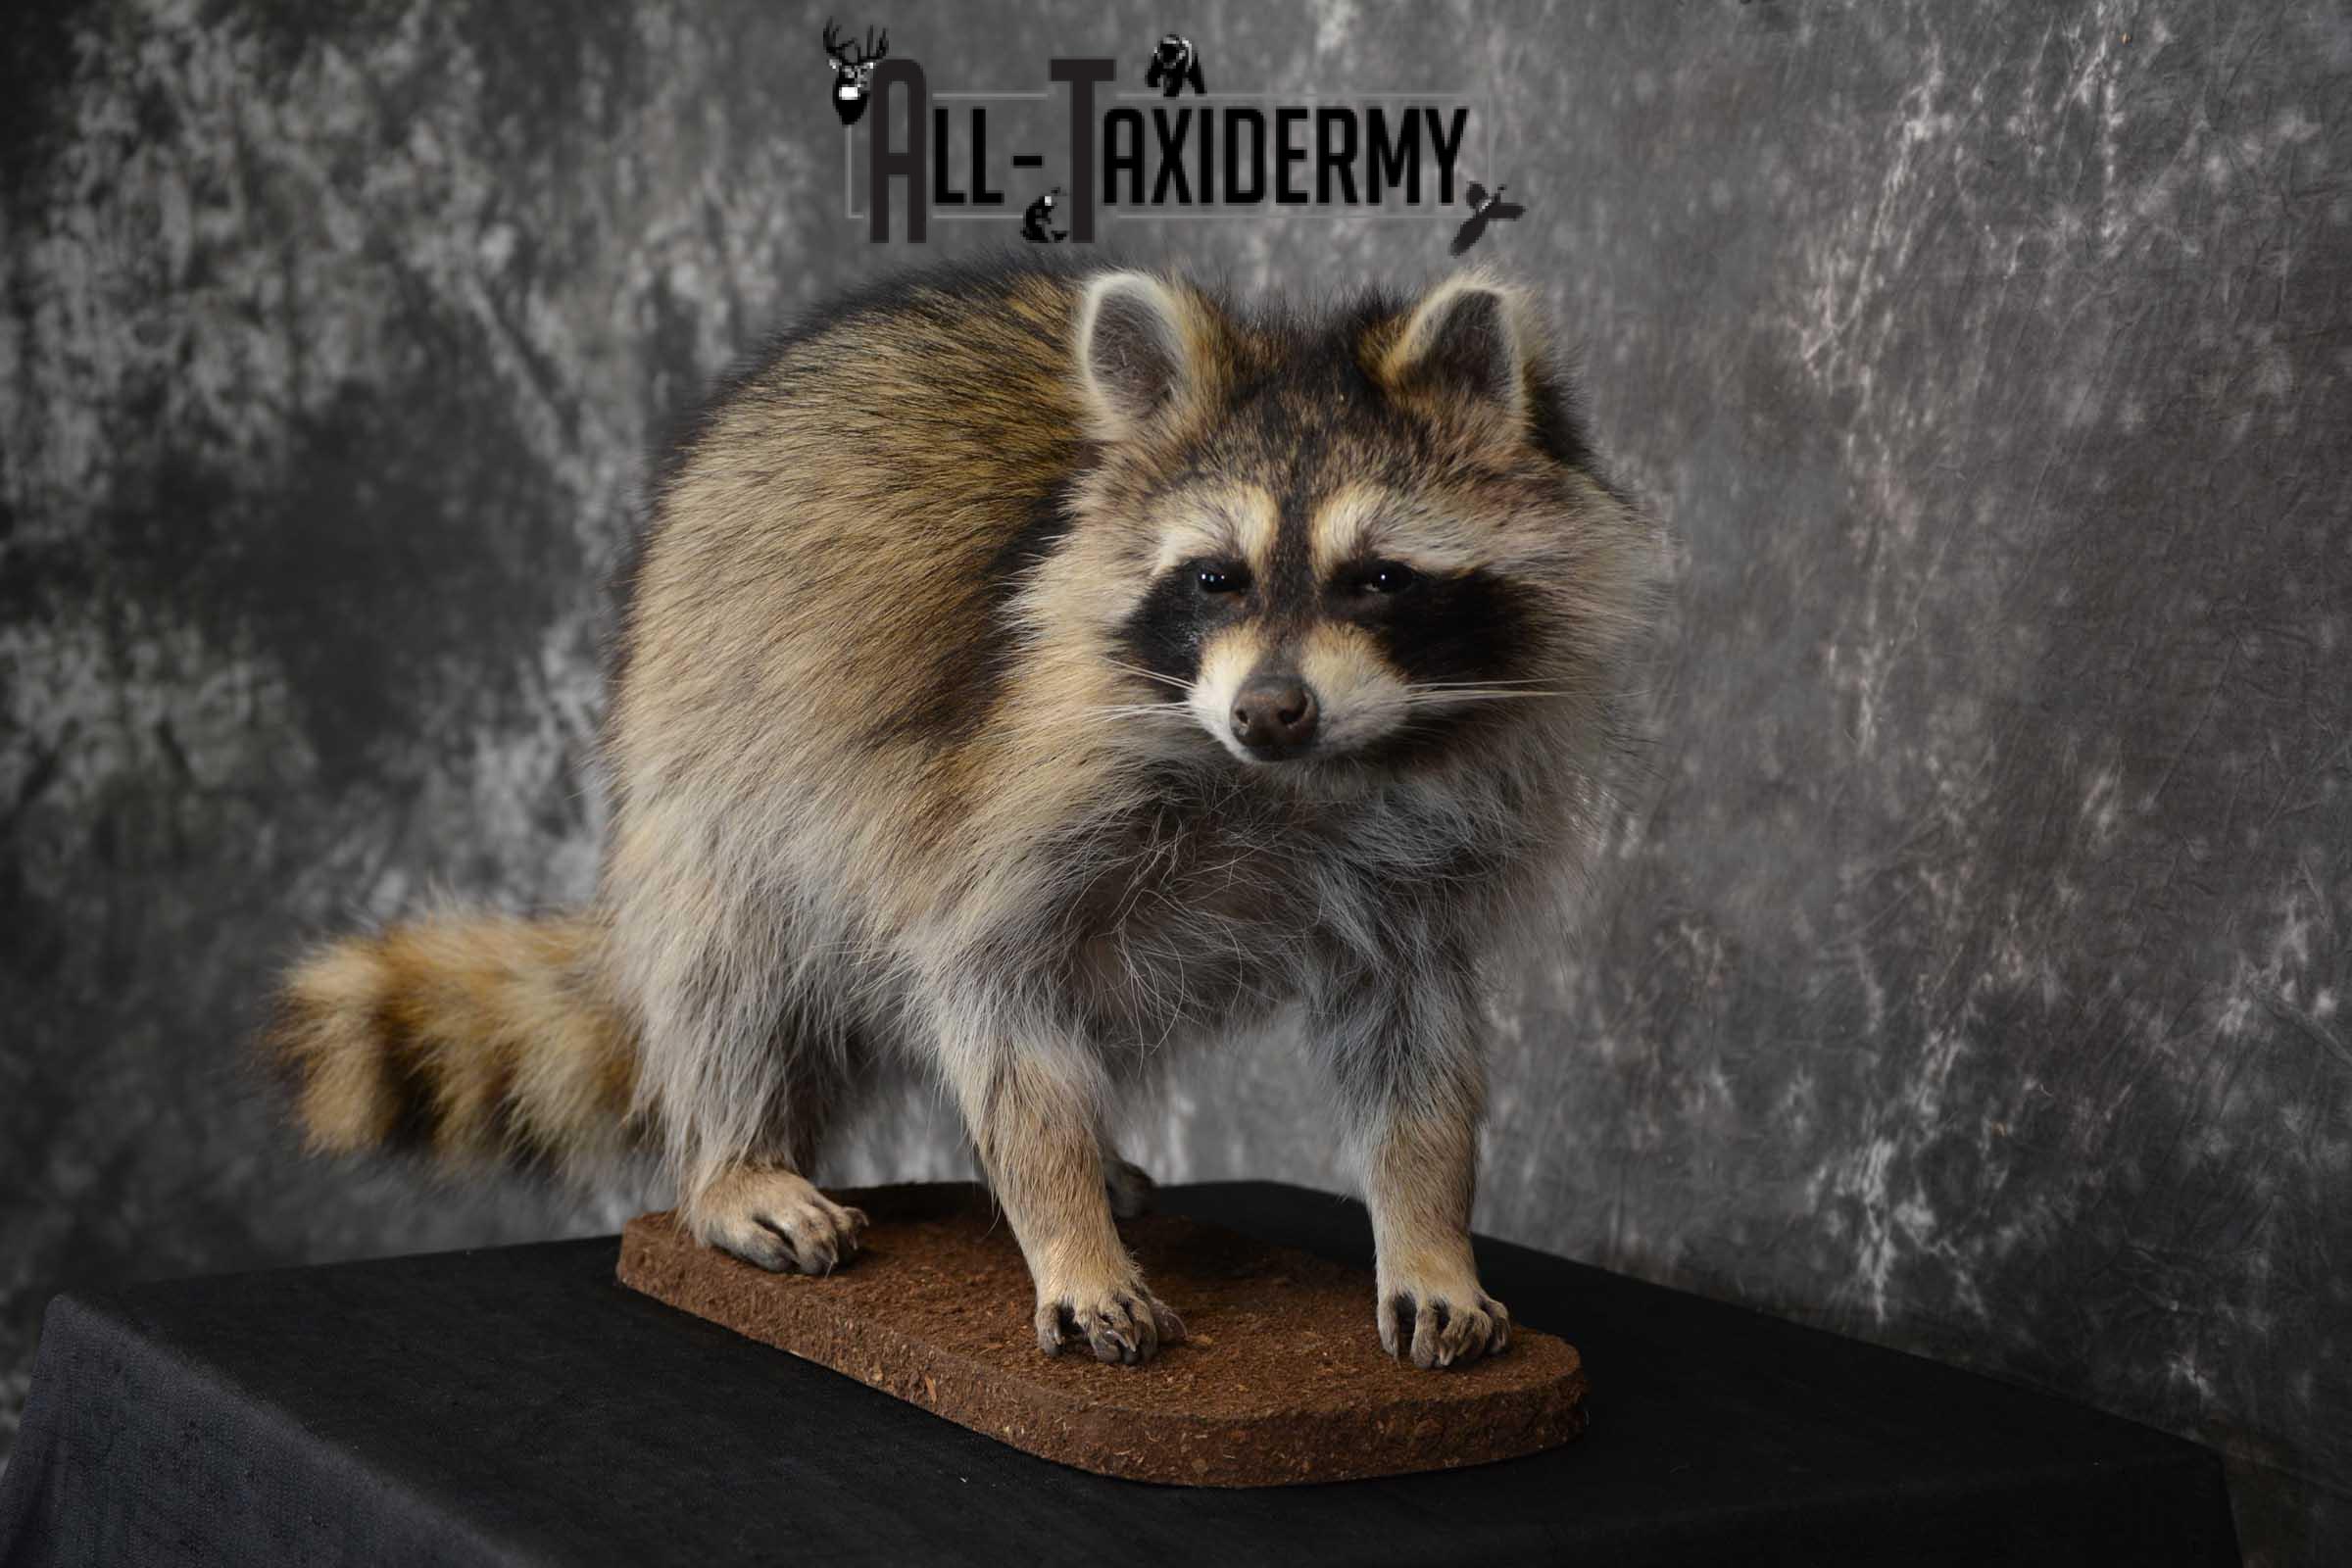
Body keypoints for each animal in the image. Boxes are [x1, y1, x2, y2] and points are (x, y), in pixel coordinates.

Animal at [269, 256, 1667, 1370]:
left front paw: (1427, 1234)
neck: (1291, 784)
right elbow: (988, 991)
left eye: (1378, 578)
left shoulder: (1426, 855)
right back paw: (732, 1157)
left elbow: (1417, 1040)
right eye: (1215, 578)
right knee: (732, 961)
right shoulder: (1006, 790)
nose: (1271, 709)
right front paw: (1063, 1229)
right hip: (700, 754)